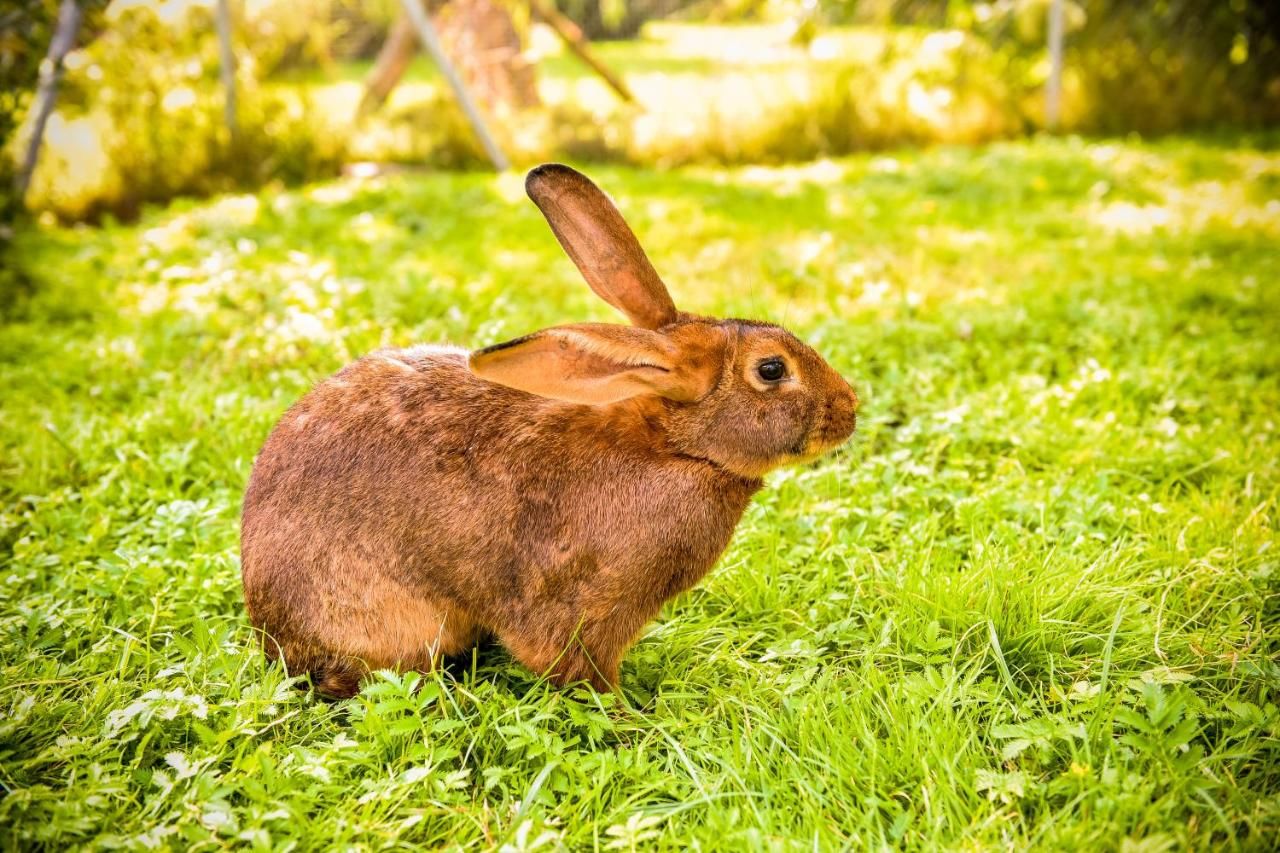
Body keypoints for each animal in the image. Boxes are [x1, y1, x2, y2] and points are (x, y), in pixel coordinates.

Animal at [241, 162, 860, 696]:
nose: (849, 408)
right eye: (772, 369)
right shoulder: (583, 606)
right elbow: (573, 664)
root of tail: (268, 623)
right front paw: (627, 714)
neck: (676, 448)